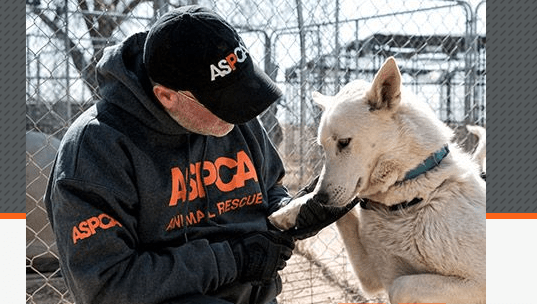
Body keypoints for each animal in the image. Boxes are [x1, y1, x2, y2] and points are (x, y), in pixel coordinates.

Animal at [270, 57, 484, 304]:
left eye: (344, 142)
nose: (321, 198)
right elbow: (343, 214)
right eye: (322, 147)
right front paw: (289, 212)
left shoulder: (477, 283)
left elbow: (400, 286)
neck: (411, 198)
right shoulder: (371, 277)